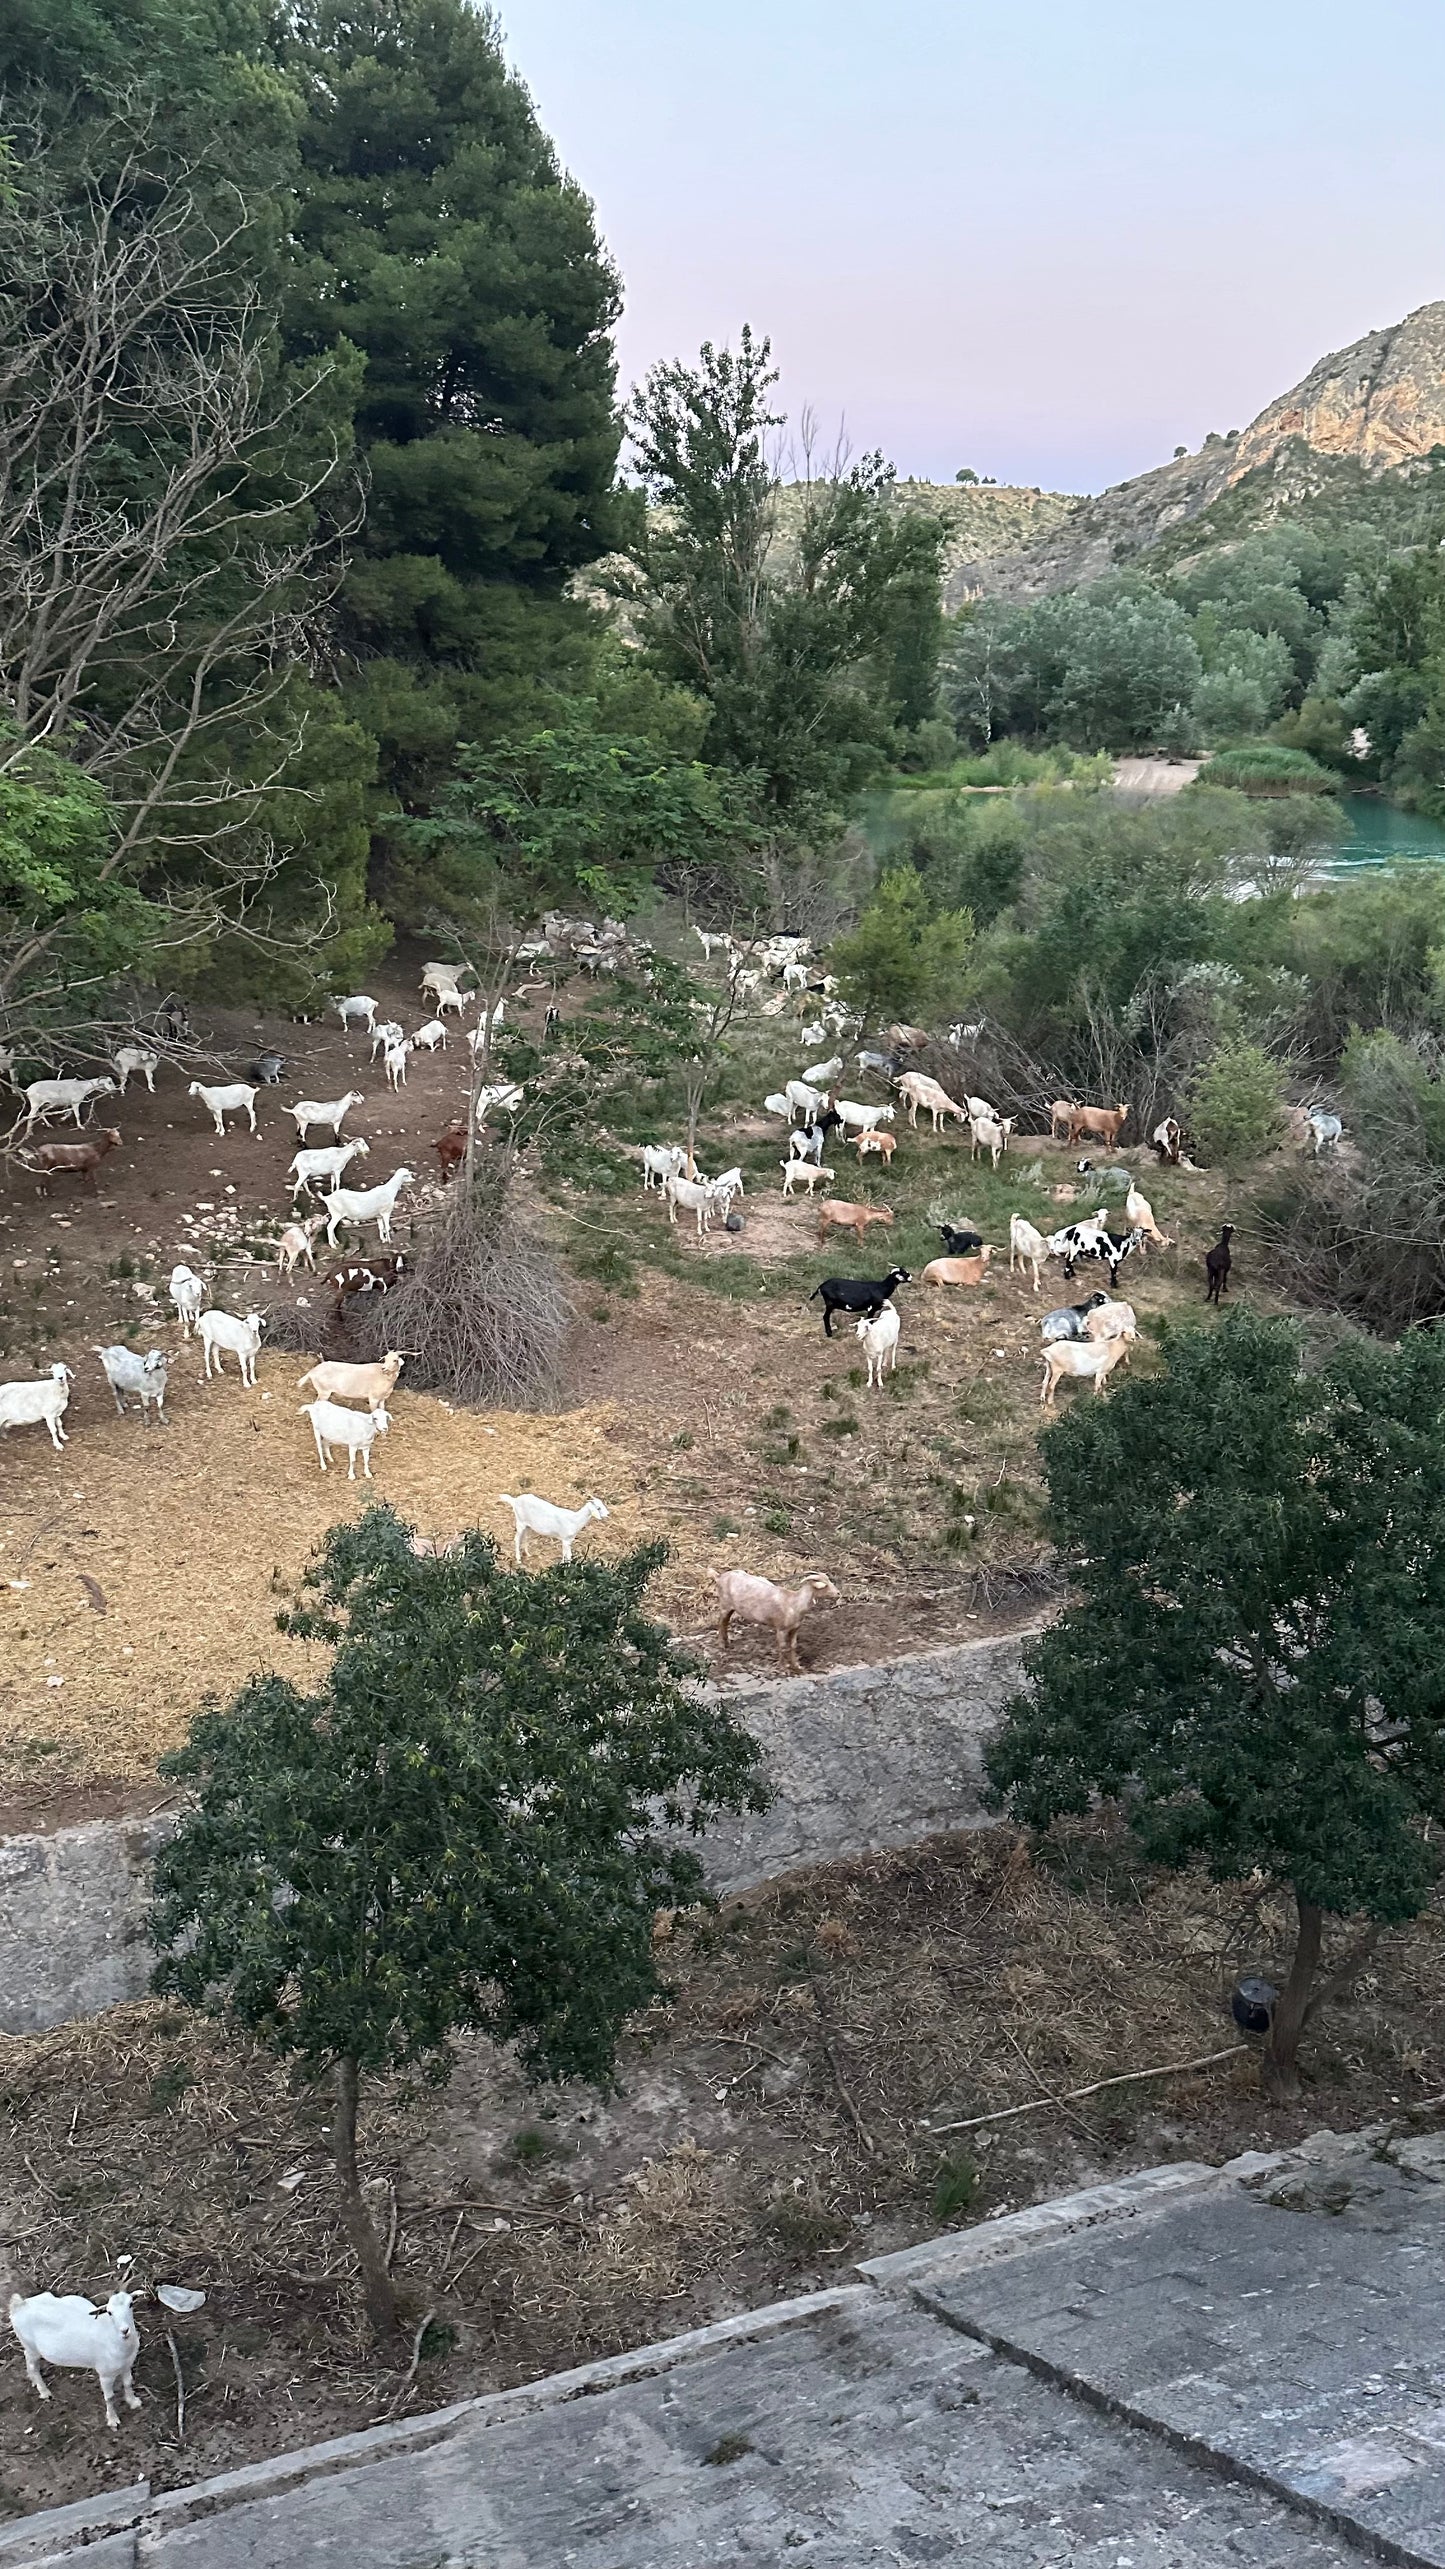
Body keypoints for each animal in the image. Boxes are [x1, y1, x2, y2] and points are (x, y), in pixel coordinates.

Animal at [8, 2291, 138, 2425]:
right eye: (109, 2312)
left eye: (131, 2304)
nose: (125, 2331)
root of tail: (20, 2305)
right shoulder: (105, 2374)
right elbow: (110, 2397)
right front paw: (113, 2420)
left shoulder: (127, 2365)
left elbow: (128, 2383)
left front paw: (133, 2402)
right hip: (31, 2346)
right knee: (32, 2364)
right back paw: (44, 2392)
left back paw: (33, 2380)